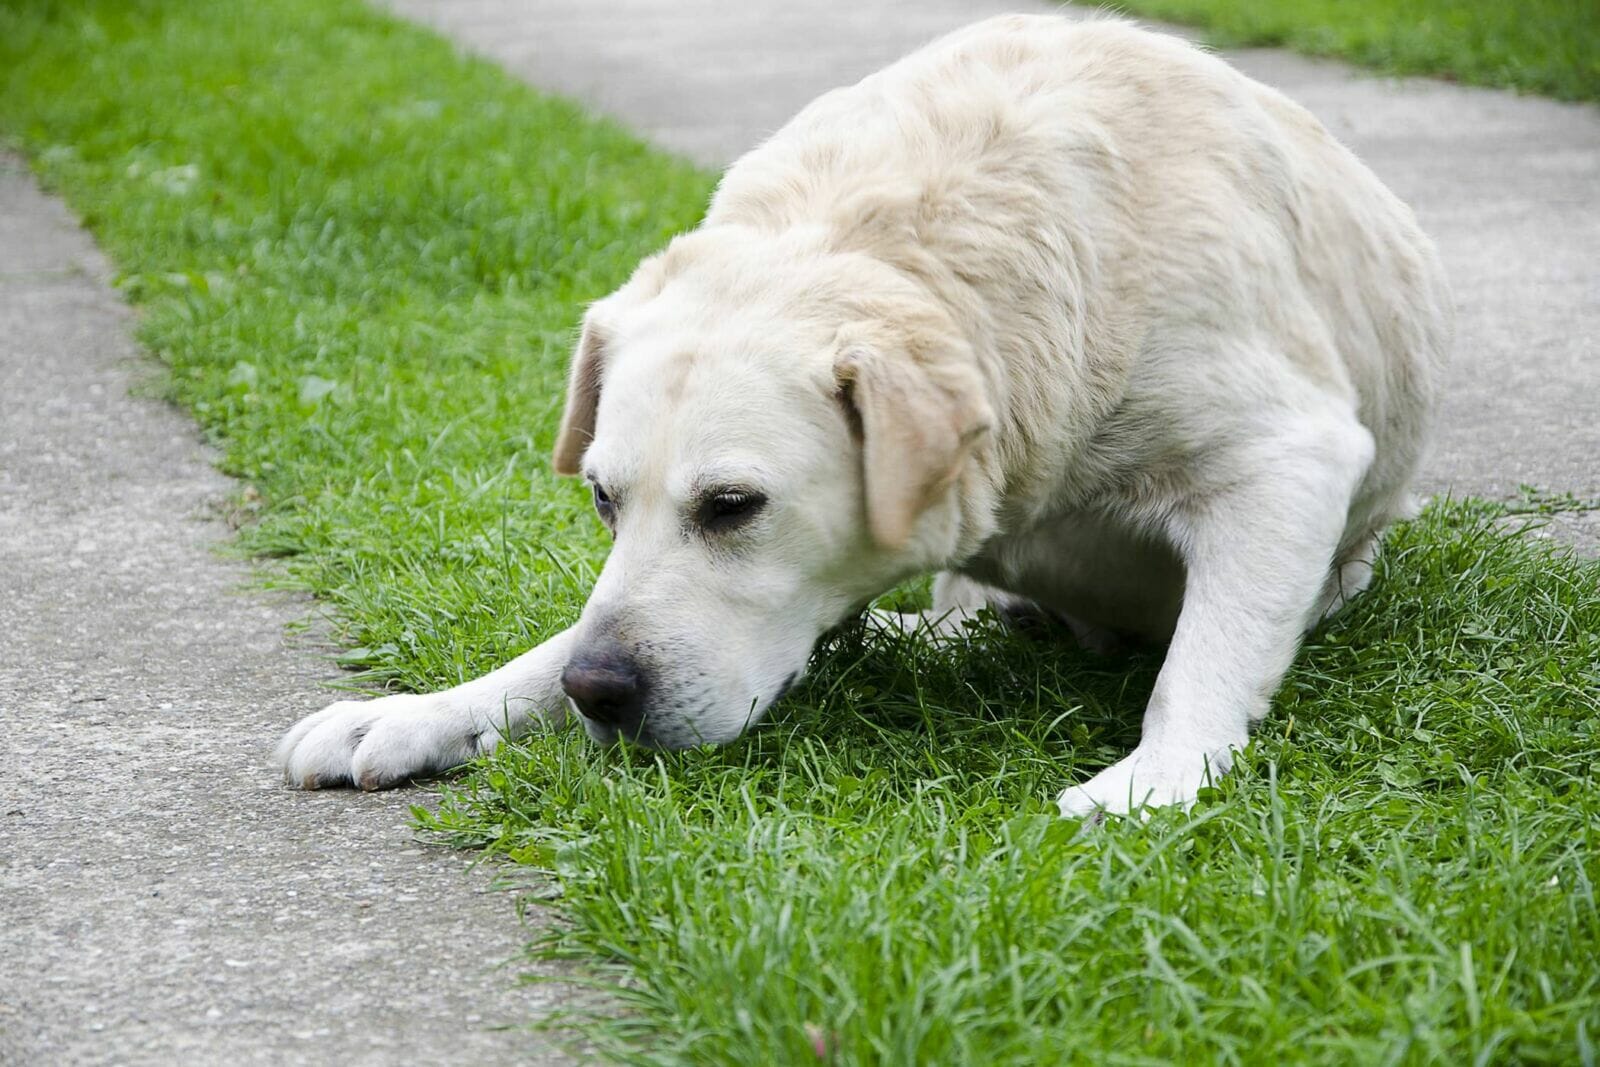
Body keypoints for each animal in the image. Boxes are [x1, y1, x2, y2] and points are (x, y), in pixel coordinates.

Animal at [272, 14, 1452, 819]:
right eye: (602, 499)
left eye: (733, 506)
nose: (600, 692)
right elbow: (551, 641)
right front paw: (428, 708)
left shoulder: (1289, 456)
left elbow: (1202, 660)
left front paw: (1152, 779)